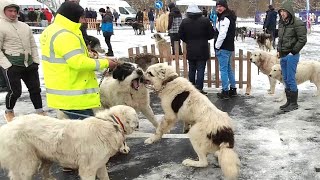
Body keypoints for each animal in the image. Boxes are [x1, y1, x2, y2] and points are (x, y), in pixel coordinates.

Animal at [0, 105, 139, 180]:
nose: (138, 125)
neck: (111, 122)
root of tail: (6, 128)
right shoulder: (87, 169)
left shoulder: (99, 164)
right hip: (25, 163)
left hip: (46, 157)